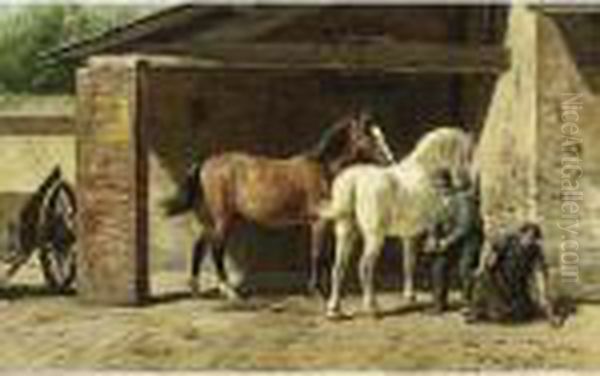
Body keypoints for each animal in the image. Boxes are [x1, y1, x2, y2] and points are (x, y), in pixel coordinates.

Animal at [164, 110, 394, 302]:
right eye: (369, 136)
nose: (390, 160)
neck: (322, 169)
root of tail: (206, 163)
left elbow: (319, 255)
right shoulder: (318, 222)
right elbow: (317, 255)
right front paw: (318, 292)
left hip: (211, 220)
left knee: (199, 245)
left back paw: (196, 289)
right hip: (222, 219)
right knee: (217, 249)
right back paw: (230, 292)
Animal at [322, 126, 476, 318]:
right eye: (467, 154)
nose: (468, 182)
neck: (425, 171)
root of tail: (354, 180)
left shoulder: (409, 236)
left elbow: (409, 263)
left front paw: (410, 296)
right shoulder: (419, 232)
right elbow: (411, 262)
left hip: (345, 232)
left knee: (338, 267)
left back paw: (334, 309)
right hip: (374, 237)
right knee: (365, 267)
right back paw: (372, 307)